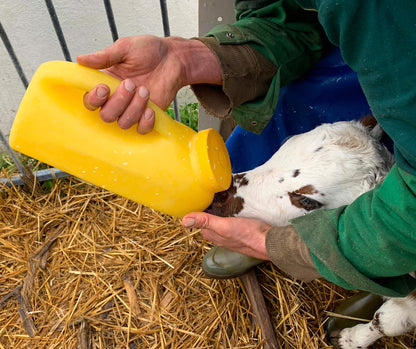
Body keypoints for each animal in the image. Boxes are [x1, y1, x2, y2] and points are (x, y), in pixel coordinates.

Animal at [211, 120, 416, 348]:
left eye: (307, 200)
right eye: (284, 147)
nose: (221, 193)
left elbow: (387, 321)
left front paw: (349, 339)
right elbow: (386, 319)